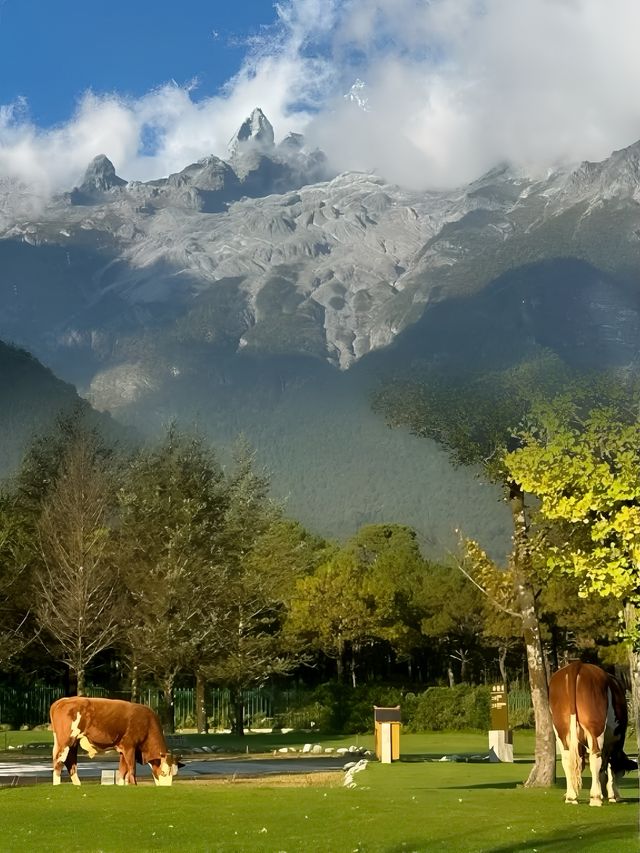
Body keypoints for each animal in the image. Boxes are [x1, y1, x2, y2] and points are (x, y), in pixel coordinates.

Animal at [48, 700, 180, 784]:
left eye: (174, 774)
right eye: (164, 772)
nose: (167, 787)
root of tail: (61, 701)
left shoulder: (123, 749)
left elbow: (122, 771)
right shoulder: (129, 747)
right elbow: (131, 769)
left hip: (73, 743)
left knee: (70, 763)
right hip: (65, 742)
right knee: (58, 763)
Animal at [552, 660, 636, 804]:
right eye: (622, 772)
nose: (619, 796)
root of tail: (578, 664)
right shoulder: (616, 742)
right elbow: (609, 768)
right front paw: (611, 795)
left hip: (560, 730)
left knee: (567, 758)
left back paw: (571, 796)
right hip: (595, 728)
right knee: (595, 757)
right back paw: (595, 797)